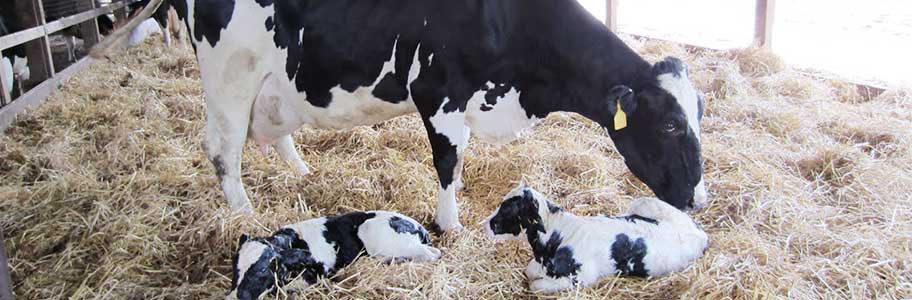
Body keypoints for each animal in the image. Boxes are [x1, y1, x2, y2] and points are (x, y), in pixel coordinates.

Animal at [103, 0, 708, 232]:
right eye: (671, 124)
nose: (699, 200)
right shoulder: (438, 93)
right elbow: (448, 163)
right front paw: (450, 224)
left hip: (276, 84)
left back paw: (302, 173)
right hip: (229, 79)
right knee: (223, 151)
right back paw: (246, 215)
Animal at [228, 211, 442, 300]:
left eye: (262, 270)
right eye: (234, 267)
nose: (233, 297)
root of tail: (418, 226)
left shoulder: (319, 274)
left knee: (433, 253)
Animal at [480, 185, 708, 292]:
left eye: (508, 210)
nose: (486, 225)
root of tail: (700, 233)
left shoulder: (581, 277)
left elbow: (535, 285)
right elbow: (529, 271)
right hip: (644, 203)